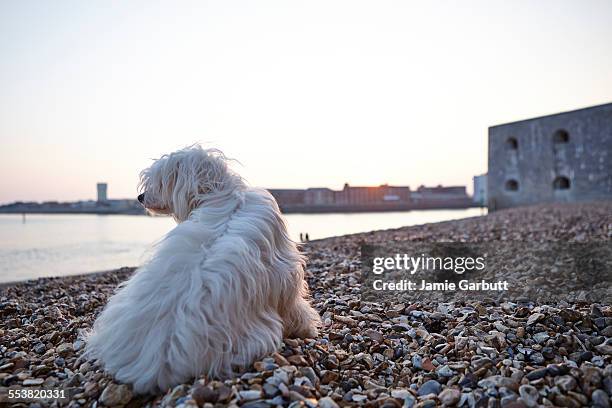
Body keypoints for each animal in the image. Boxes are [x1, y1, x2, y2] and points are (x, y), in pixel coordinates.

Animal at [85, 145, 320, 394]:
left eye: (160, 181)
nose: (140, 197)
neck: (221, 197)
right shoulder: (285, 274)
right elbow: (294, 306)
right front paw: (307, 327)